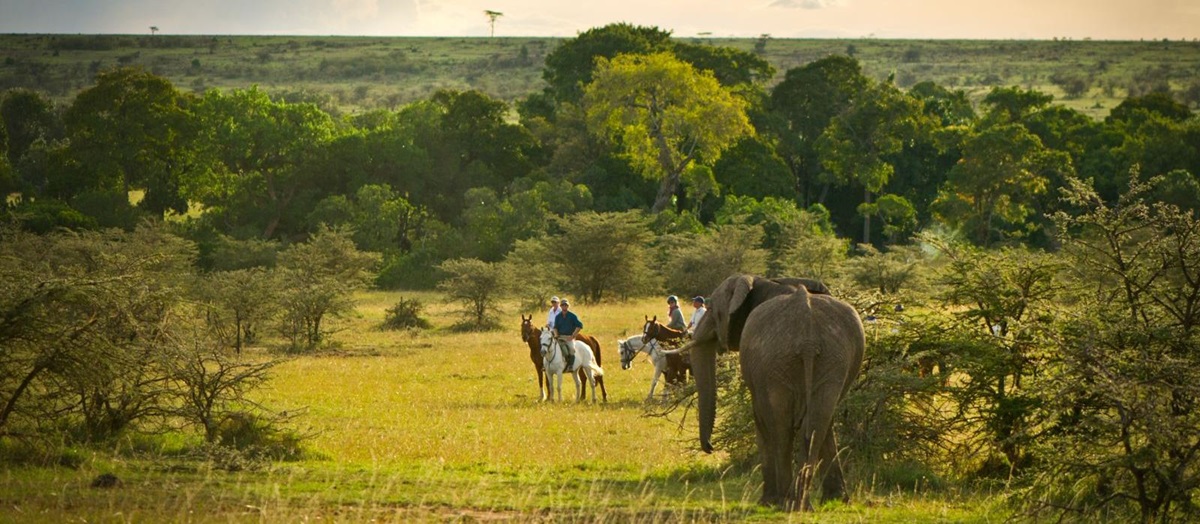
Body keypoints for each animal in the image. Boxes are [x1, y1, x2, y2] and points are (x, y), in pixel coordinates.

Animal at [686, 274, 864, 511]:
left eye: (713, 309)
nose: (710, 447)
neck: (763, 282)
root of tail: (808, 339)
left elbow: (761, 420)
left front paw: (766, 502)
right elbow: (827, 425)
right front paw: (837, 499)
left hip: (777, 363)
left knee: (781, 426)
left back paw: (785, 503)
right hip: (832, 359)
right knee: (815, 424)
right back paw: (800, 505)